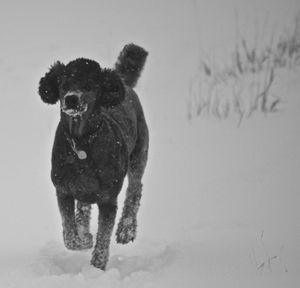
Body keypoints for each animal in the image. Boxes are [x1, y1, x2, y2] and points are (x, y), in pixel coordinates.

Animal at [38, 44, 149, 268]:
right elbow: (69, 232)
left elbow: (103, 237)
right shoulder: (63, 190)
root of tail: (124, 83)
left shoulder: (108, 199)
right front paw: (83, 239)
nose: (71, 98)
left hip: (139, 153)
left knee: (135, 189)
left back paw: (126, 230)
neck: (81, 142)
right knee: (83, 207)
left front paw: (97, 264)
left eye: (89, 85)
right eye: (63, 83)